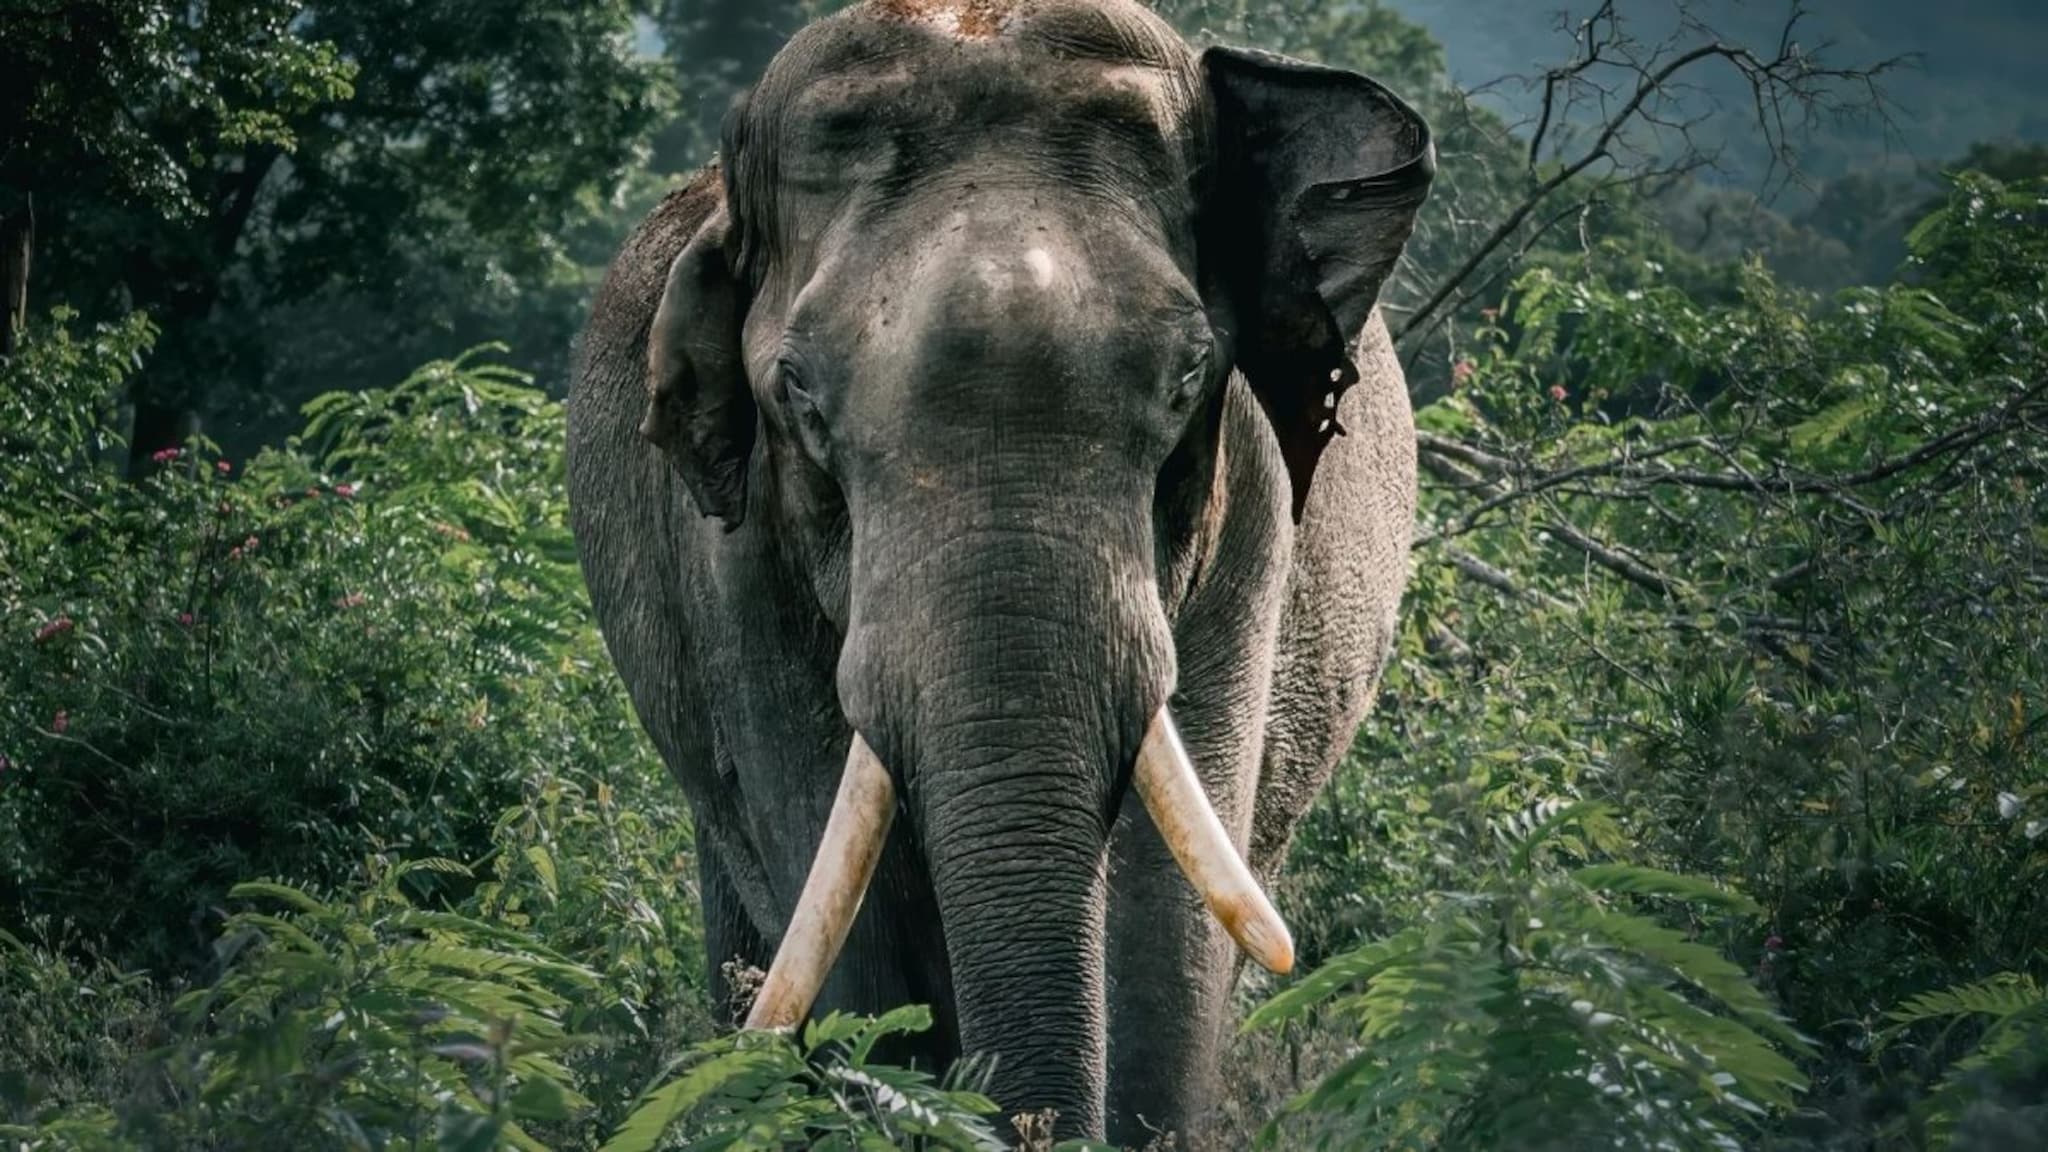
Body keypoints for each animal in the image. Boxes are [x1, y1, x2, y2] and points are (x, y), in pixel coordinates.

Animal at [566, 0, 1433, 1142]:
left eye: (1187, 380)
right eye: (799, 398)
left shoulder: (1247, 521)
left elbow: (1167, 921)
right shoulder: (734, 564)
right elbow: (845, 914)